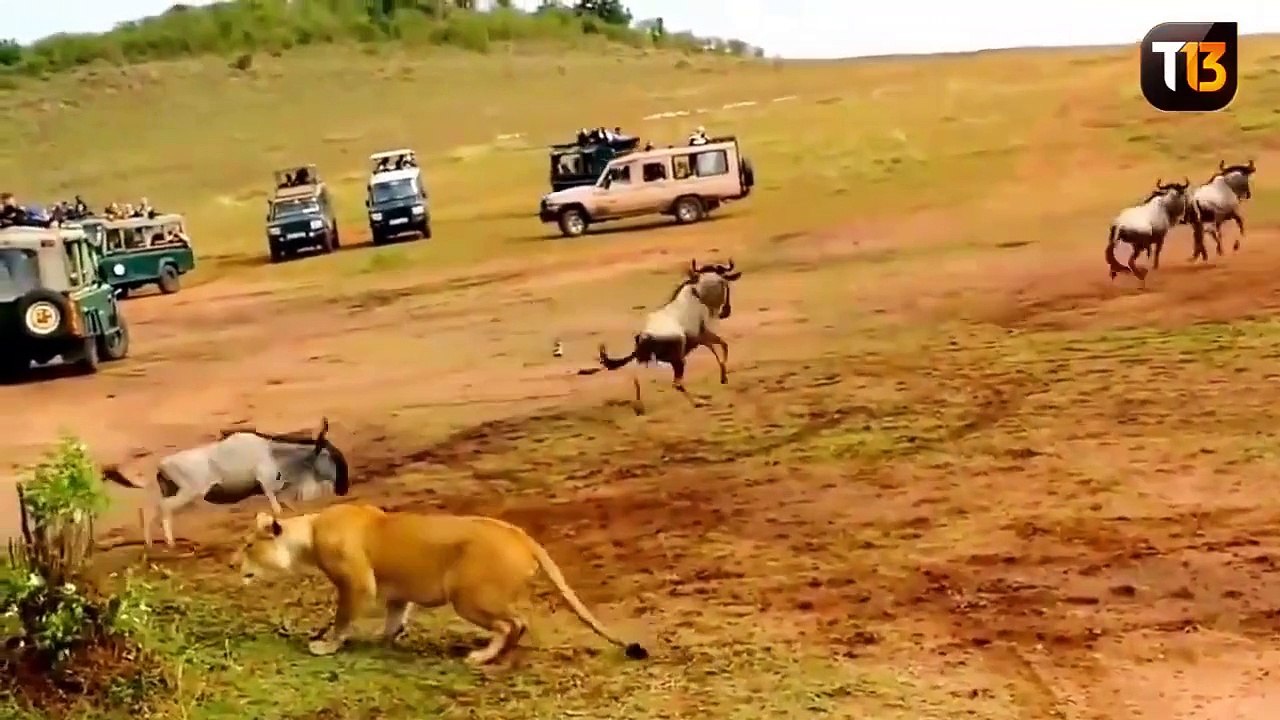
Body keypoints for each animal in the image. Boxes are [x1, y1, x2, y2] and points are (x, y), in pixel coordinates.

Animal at [233, 502, 649, 665]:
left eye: (249, 545)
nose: (233, 563)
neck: (309, 532)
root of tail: (522, 535)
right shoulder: (396, 592)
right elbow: (394, 618)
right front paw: (387, 641)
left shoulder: (357, 584)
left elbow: (342, 618)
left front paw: (326, 645)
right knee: (518, 624)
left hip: (467, 595)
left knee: (513, 622)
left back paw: (481, 656)